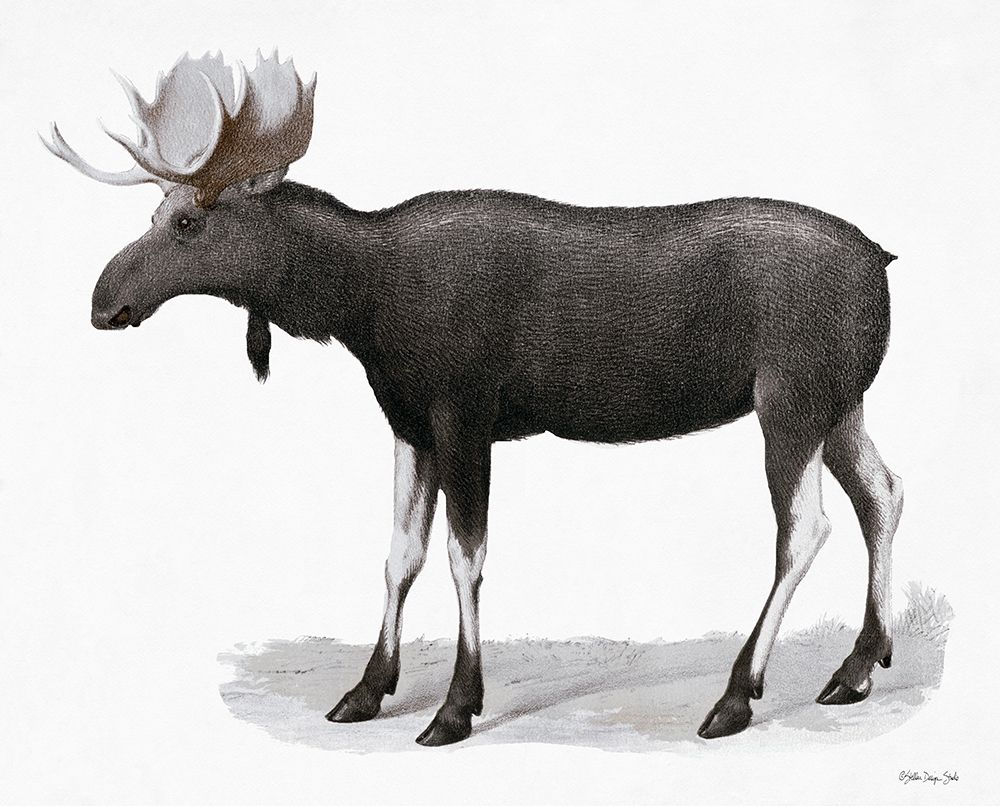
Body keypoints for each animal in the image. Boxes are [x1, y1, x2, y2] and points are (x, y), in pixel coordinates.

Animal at [43, 51, 903, 746]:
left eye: (188, 221)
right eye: (154, 212)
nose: (102, 301)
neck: (362, 304)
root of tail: (884, 263)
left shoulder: (465, 414)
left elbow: (466, 555)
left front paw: (455, 706)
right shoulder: (408, 421)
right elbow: (399, 554)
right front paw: (365, 689)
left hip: (791, 399)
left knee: (805, 526)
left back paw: (736, 696)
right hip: (843, 404)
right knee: (884, 494)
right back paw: (858, 666)